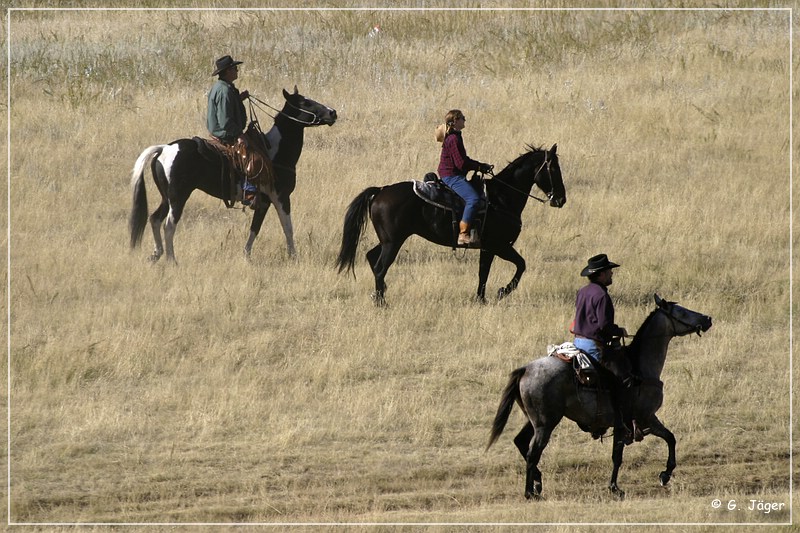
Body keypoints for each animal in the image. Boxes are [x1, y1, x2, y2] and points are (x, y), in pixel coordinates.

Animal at [127, 87, 338, 262]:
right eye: (305, 103)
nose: (332, 112)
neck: (276, 152)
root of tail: (164, 148)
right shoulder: (280, 197)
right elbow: (287, 227)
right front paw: (293, 256)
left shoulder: (264, 201)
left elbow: (255, 228)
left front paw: (247, 255)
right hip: (178, 197)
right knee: (169, 225)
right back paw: (172, 260)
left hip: (167, 197)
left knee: (155, 219)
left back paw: (157, 254)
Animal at [334, 143, 564, 306]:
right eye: (553, 168)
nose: (561, 199)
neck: (501, 198)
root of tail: (381, 190)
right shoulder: (499, 246)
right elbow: (520, 265)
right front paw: (501, 292)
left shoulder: (488, 248)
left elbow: (483, 273)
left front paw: (481, 299)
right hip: (393, 243)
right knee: (380, 267)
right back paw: (382, 302)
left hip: (388, 241)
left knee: (371, 258)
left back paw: (380, 294)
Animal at [488, 296, 712, 498]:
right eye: (682, 312)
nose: (707, 318)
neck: (640, 366)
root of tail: (526, 369)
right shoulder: (643, 417)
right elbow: (623, 455)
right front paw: (619, 487)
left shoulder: (636, 422)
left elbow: (666, 439)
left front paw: (661, 475)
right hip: (545, 424)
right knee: (532, 453)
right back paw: (530, 492)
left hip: (535, 420)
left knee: (521, 442)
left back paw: (538, 483)